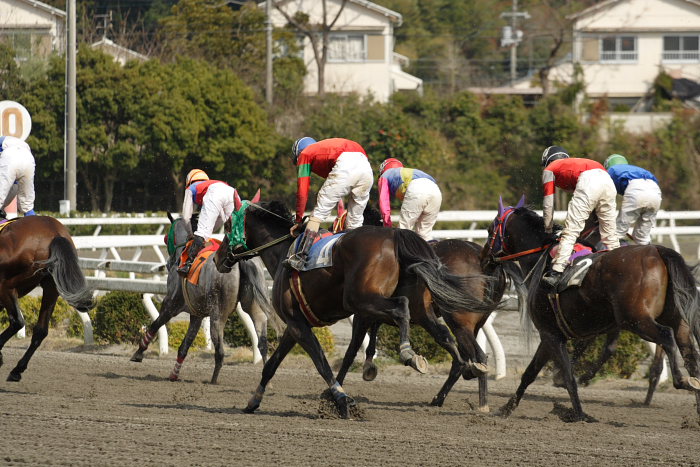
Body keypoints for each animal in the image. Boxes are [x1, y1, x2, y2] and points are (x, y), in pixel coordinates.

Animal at [0, 218, 94, 382]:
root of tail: (54, 232)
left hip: (7, 285)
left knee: (17, 321)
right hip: (51, 286)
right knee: (40, 330)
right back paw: (17, 369)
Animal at [131, 214, 276, 386]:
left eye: (167, 238)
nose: (169, 262)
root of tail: (239, 261)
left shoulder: (171, 305)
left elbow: (155, 325)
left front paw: (138, 353)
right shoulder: (197, 315)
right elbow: (184, 346)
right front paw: (173, 375)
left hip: (218, 315)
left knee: (220, 352)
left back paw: (213, 381)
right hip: (255, 309)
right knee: (262, 343)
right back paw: (266, 380)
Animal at [213, 201, 492, 420]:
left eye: (227, 227)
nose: (217, 257)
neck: (283, 252)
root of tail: (394, 236)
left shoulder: (301, 324)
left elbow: (322, 362)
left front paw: (341, 400)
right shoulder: (295, 326)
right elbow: (271, 365)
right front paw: (253, 401)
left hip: (363, 299)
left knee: (401, 308)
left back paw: (410, 353)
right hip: (410, 306)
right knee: (443, 334)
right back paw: (469, 367)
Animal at [482, 203, 700, 422]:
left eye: (490, 231)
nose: (484, 259)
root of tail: (658, 250)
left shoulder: (551, 334)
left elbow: (568, 375)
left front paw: (579, 414)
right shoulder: (552, 334)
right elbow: (530, 373)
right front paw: (506, 409)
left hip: (636, 320)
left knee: (666, 336)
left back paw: (681, 381)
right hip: (674, 319)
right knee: (689, 351)